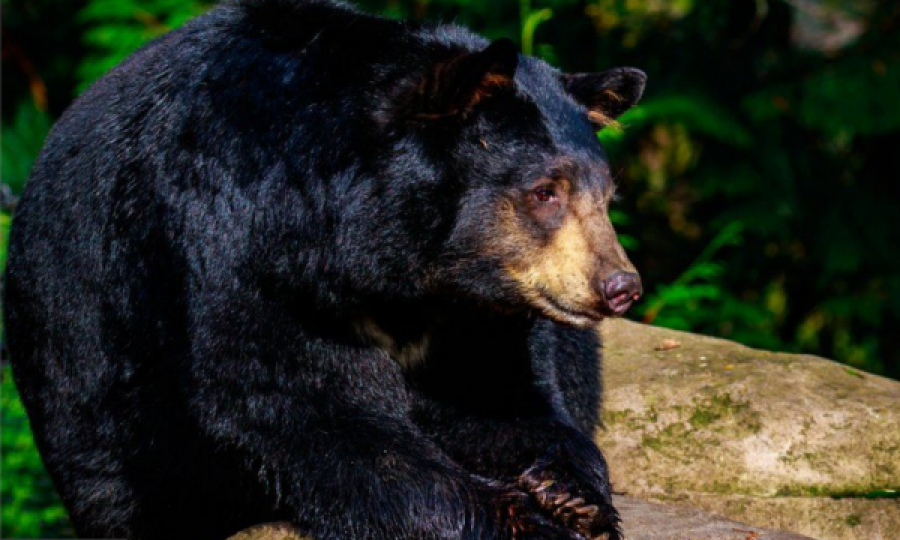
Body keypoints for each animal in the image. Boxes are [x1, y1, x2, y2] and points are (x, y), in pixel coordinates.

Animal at [3, 1, 644, 540]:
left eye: (606, 196)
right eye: (545, 191)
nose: (621, 287)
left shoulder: (472, 305)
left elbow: (493, 388)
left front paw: (569, 490)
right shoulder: (240, 250)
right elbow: (315, 414)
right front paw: (525, 520)